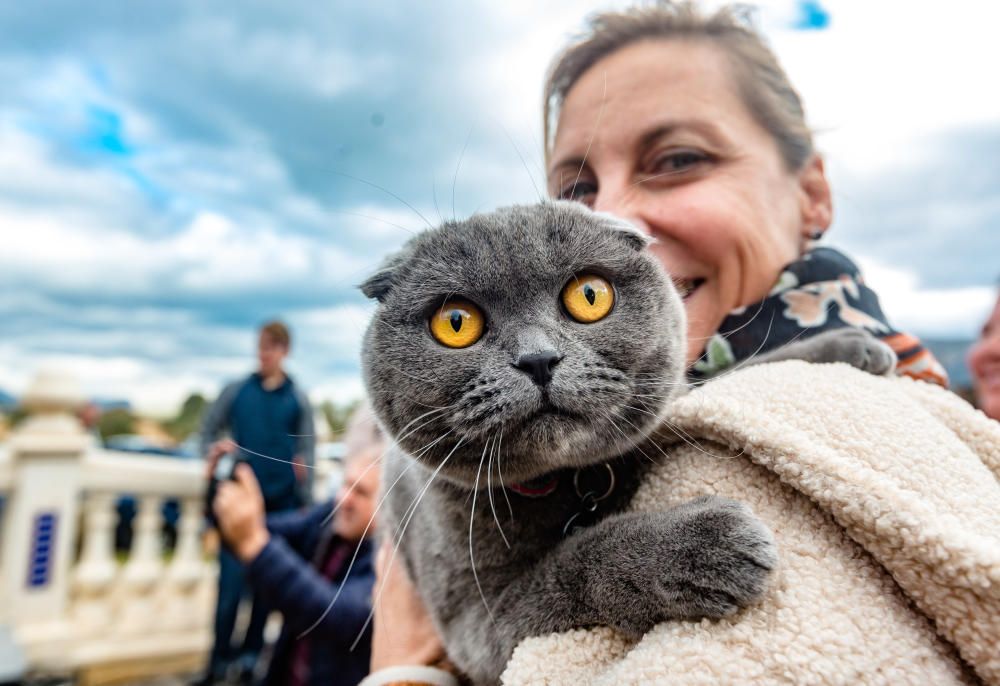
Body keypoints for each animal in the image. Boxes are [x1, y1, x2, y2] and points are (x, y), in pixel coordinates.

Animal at [362, 200, 900, 684]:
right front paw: (703, 547)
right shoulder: (476, 618)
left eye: (589, 295)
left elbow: (720, 379)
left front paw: (846, 346)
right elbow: (571, 562)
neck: (570, 482)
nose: (538, 359)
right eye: (455, 322)